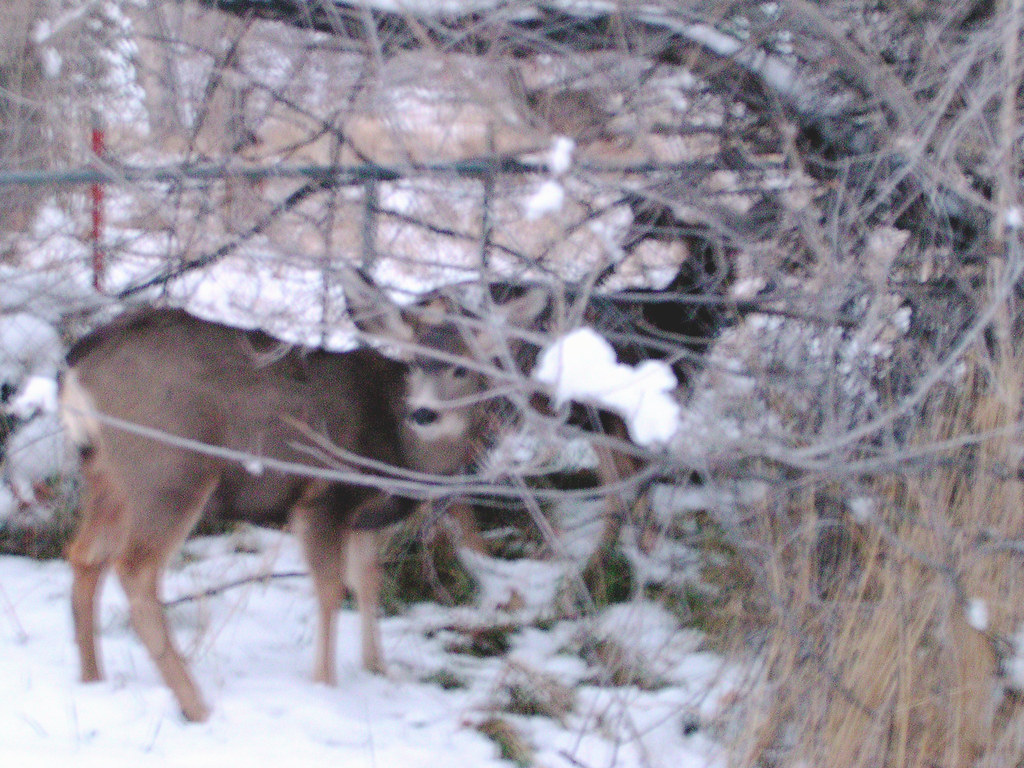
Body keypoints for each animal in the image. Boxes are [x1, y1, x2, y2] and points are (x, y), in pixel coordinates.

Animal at [59, 267, 545, 722]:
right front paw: (326, 685)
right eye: (411, 363)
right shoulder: (322, 499)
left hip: (105, 473)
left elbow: (368, 582)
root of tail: (77, 365)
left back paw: (92, 678)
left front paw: (377, 668)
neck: (401, 452)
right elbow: (330, 590)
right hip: (170, 470)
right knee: (133, 569)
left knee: (84, 555)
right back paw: (196, 705)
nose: (424, 412)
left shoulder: (364, 518)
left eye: (462, 368)